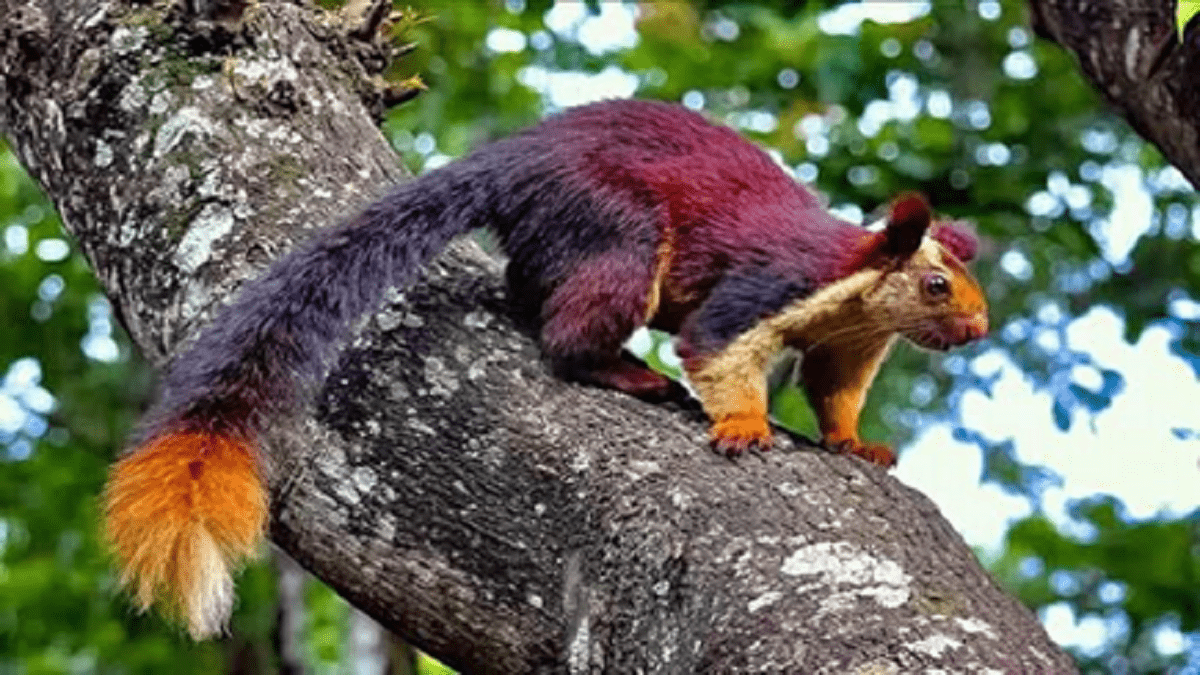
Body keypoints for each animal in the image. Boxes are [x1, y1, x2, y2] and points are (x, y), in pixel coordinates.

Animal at [100, 98, 984, 634]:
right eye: (936, 284)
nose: (977, 326)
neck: (853, 292)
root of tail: (514, 162)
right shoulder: (767, 288)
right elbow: (717, 345)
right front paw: (742, 424)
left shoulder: (848, 342)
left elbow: (836, 393)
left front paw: (855, 442)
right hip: (616, 230)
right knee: (566, 331)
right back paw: (631, 374)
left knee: (529, 290)